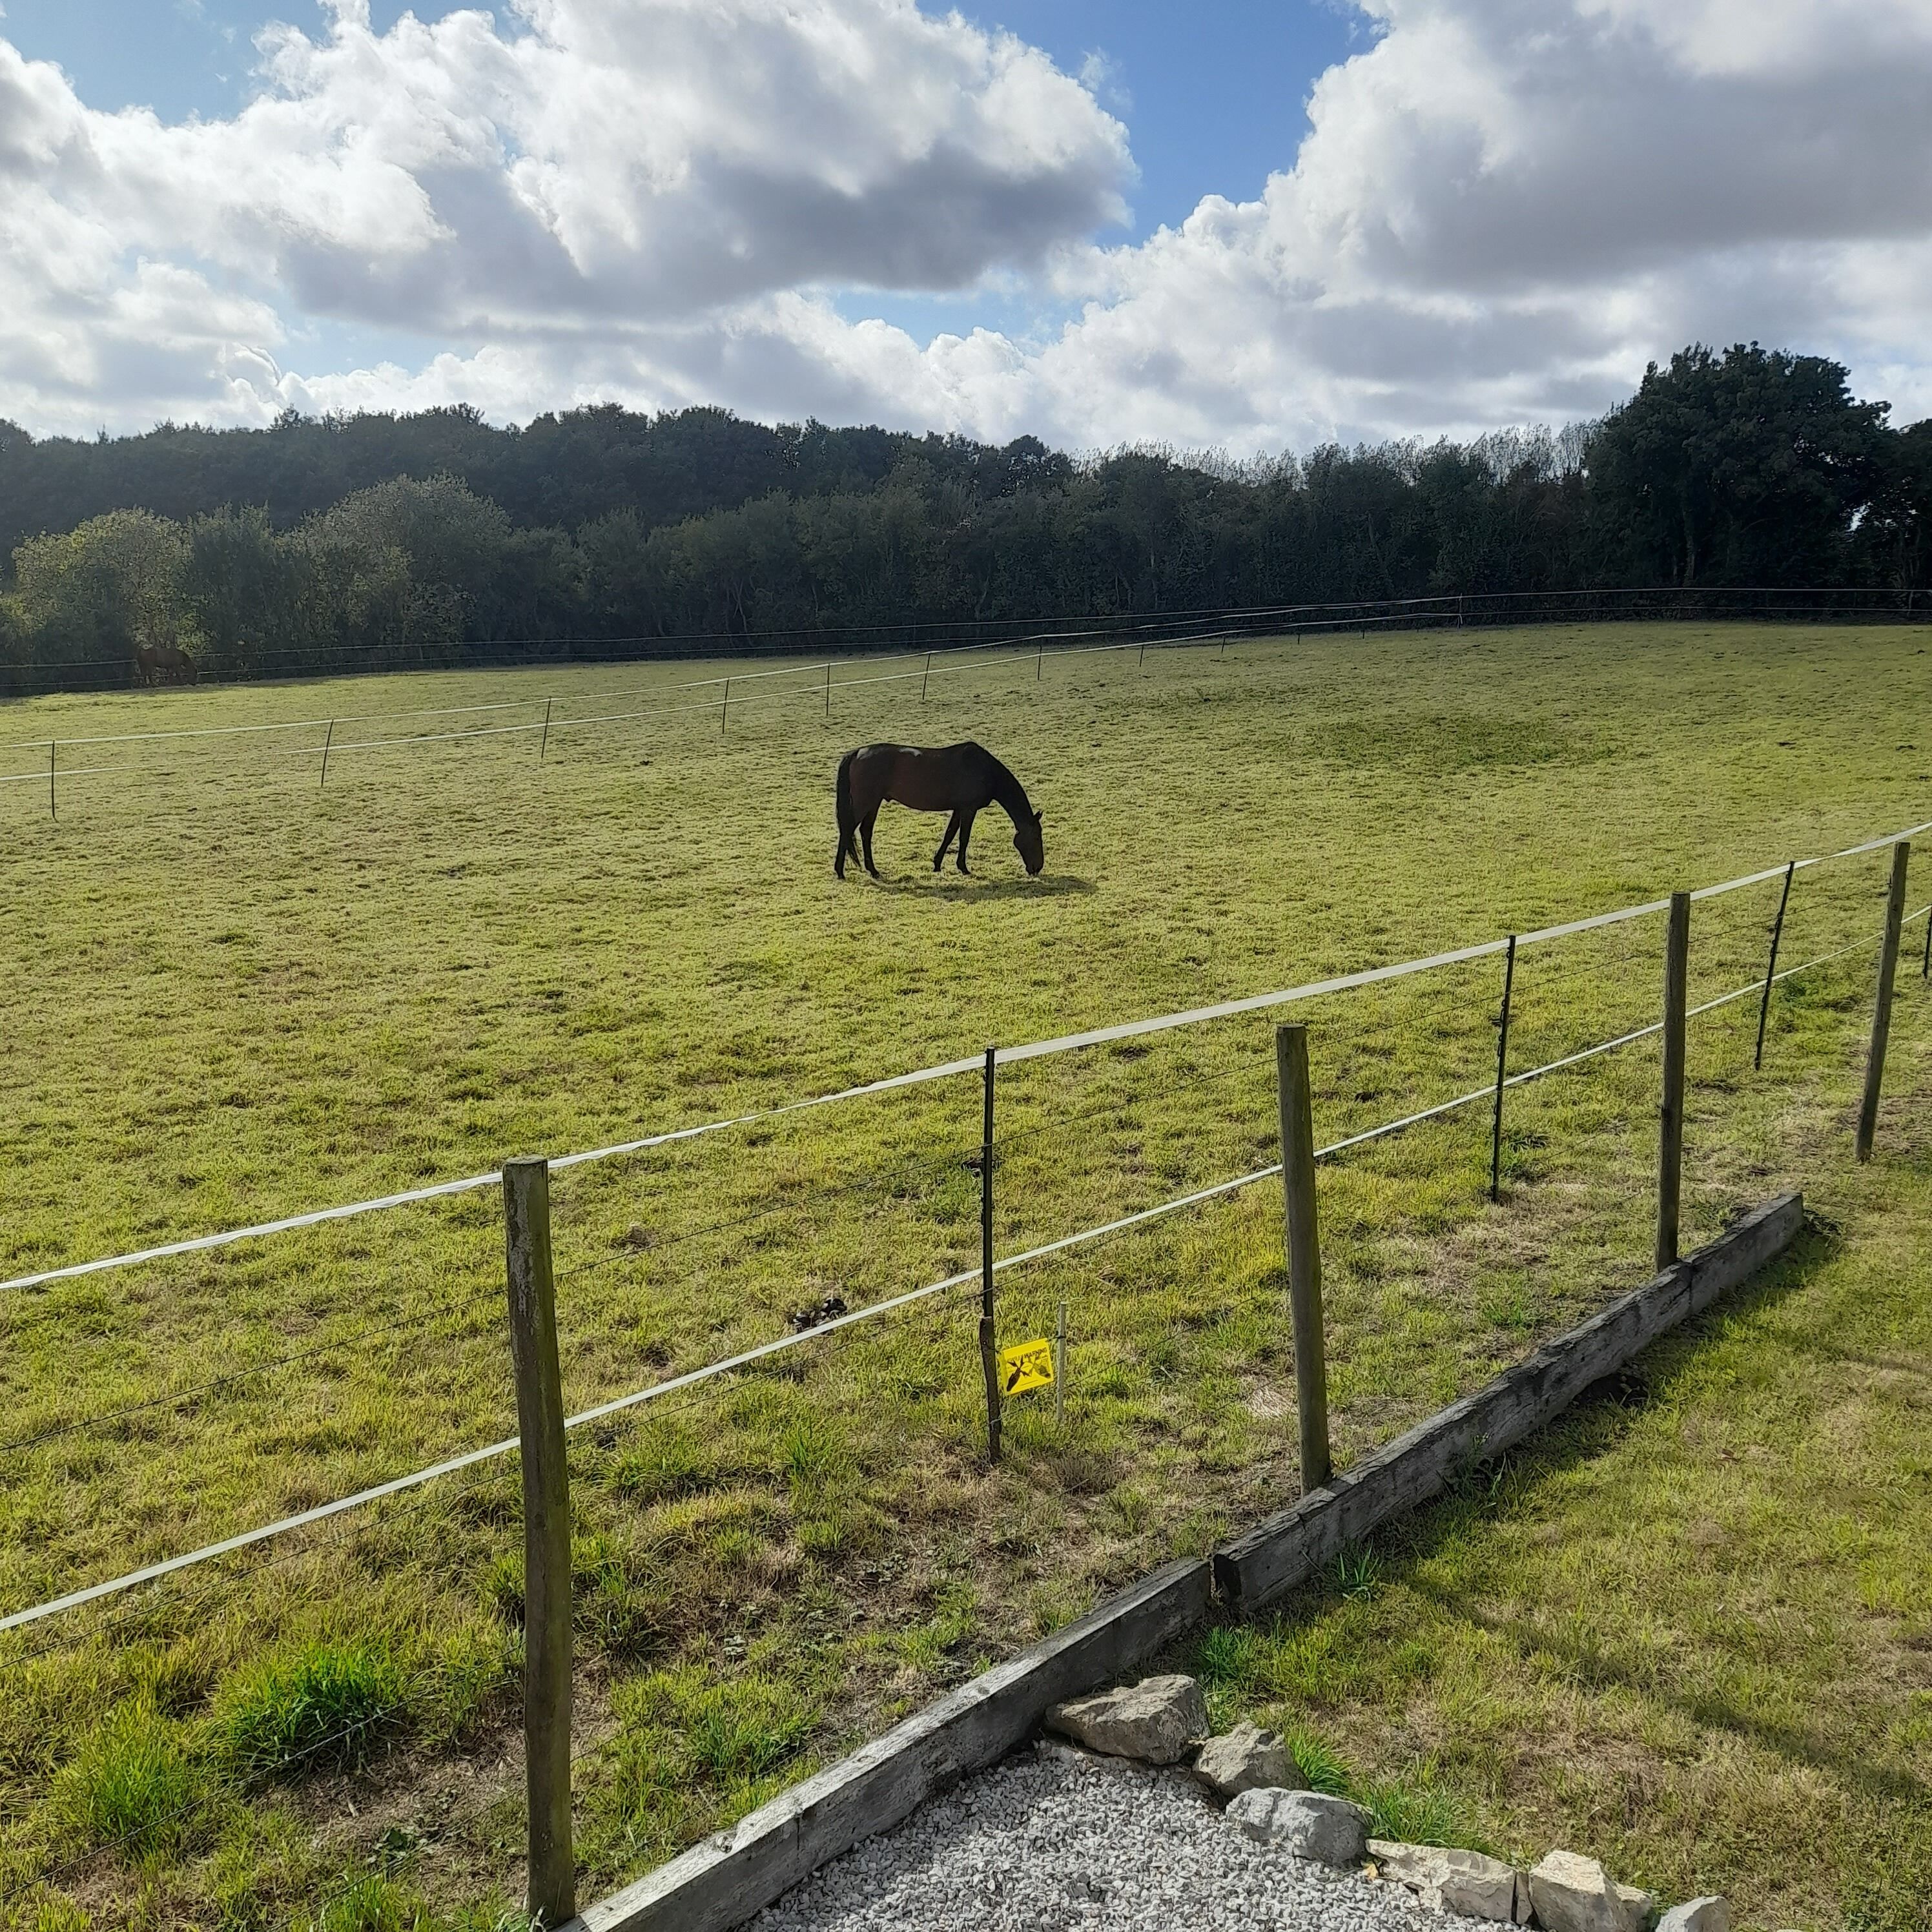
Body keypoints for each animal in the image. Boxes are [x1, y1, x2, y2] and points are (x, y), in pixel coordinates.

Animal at [835, 742, 1044, 880]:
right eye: (1036, 837)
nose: (1037, 868)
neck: (984, 769)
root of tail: (857, 753)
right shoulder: (969, 809)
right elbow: (963, 838)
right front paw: (963, 868)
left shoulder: (959, 809)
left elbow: (949, 835)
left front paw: (937, 864)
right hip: (865, 803)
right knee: (847, 831)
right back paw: (839, 871)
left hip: (873, 803)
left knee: (865, 832)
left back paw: (873, 871)